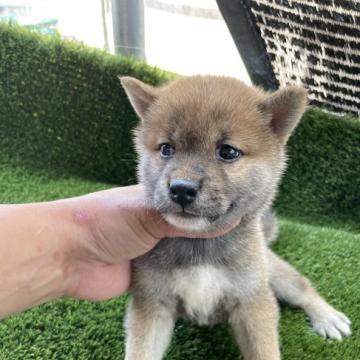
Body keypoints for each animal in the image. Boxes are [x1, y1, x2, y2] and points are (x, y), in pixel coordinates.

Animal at [119, 74, 350, 358]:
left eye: (227, 152)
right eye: (166, 149)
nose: (181, 189)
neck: (201, 245)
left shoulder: (253, 302)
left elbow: (265, 350)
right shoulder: (152, 302)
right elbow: (140, 350)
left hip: (273, 273)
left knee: (303, 288)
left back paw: (327, 316)